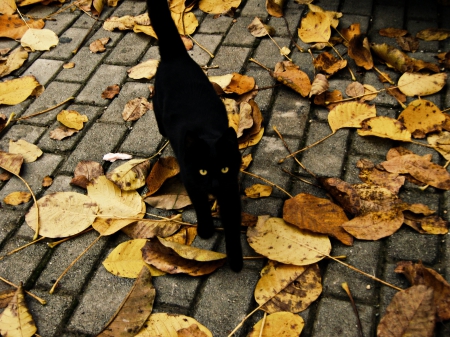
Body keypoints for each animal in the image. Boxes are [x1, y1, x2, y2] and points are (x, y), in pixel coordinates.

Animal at [147, 0, 243, 270]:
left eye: (223, 169)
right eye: (202, 171)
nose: (214, 184)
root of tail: (176, 55)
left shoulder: (230, 189)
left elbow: (232, 226)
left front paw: (236, 259)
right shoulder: (191, 181)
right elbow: (201, 206)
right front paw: (206, 229)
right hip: (157, 102)